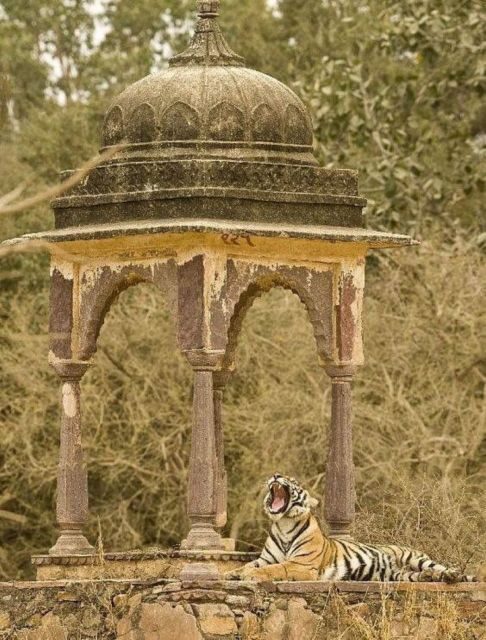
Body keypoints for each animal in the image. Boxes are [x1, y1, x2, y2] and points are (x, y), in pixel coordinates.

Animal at [227, 473, 477, 583]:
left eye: (293, 481)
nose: (276, 475)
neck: (284, 524)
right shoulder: (265, 558)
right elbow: (250, 565)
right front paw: (233, 573)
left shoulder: (301, 564)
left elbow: (274, 569)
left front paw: (249, 575)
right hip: (401, 575)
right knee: (419, 575)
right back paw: (430, 578)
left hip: (415, 558)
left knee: (442, 567)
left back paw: (454, 575)